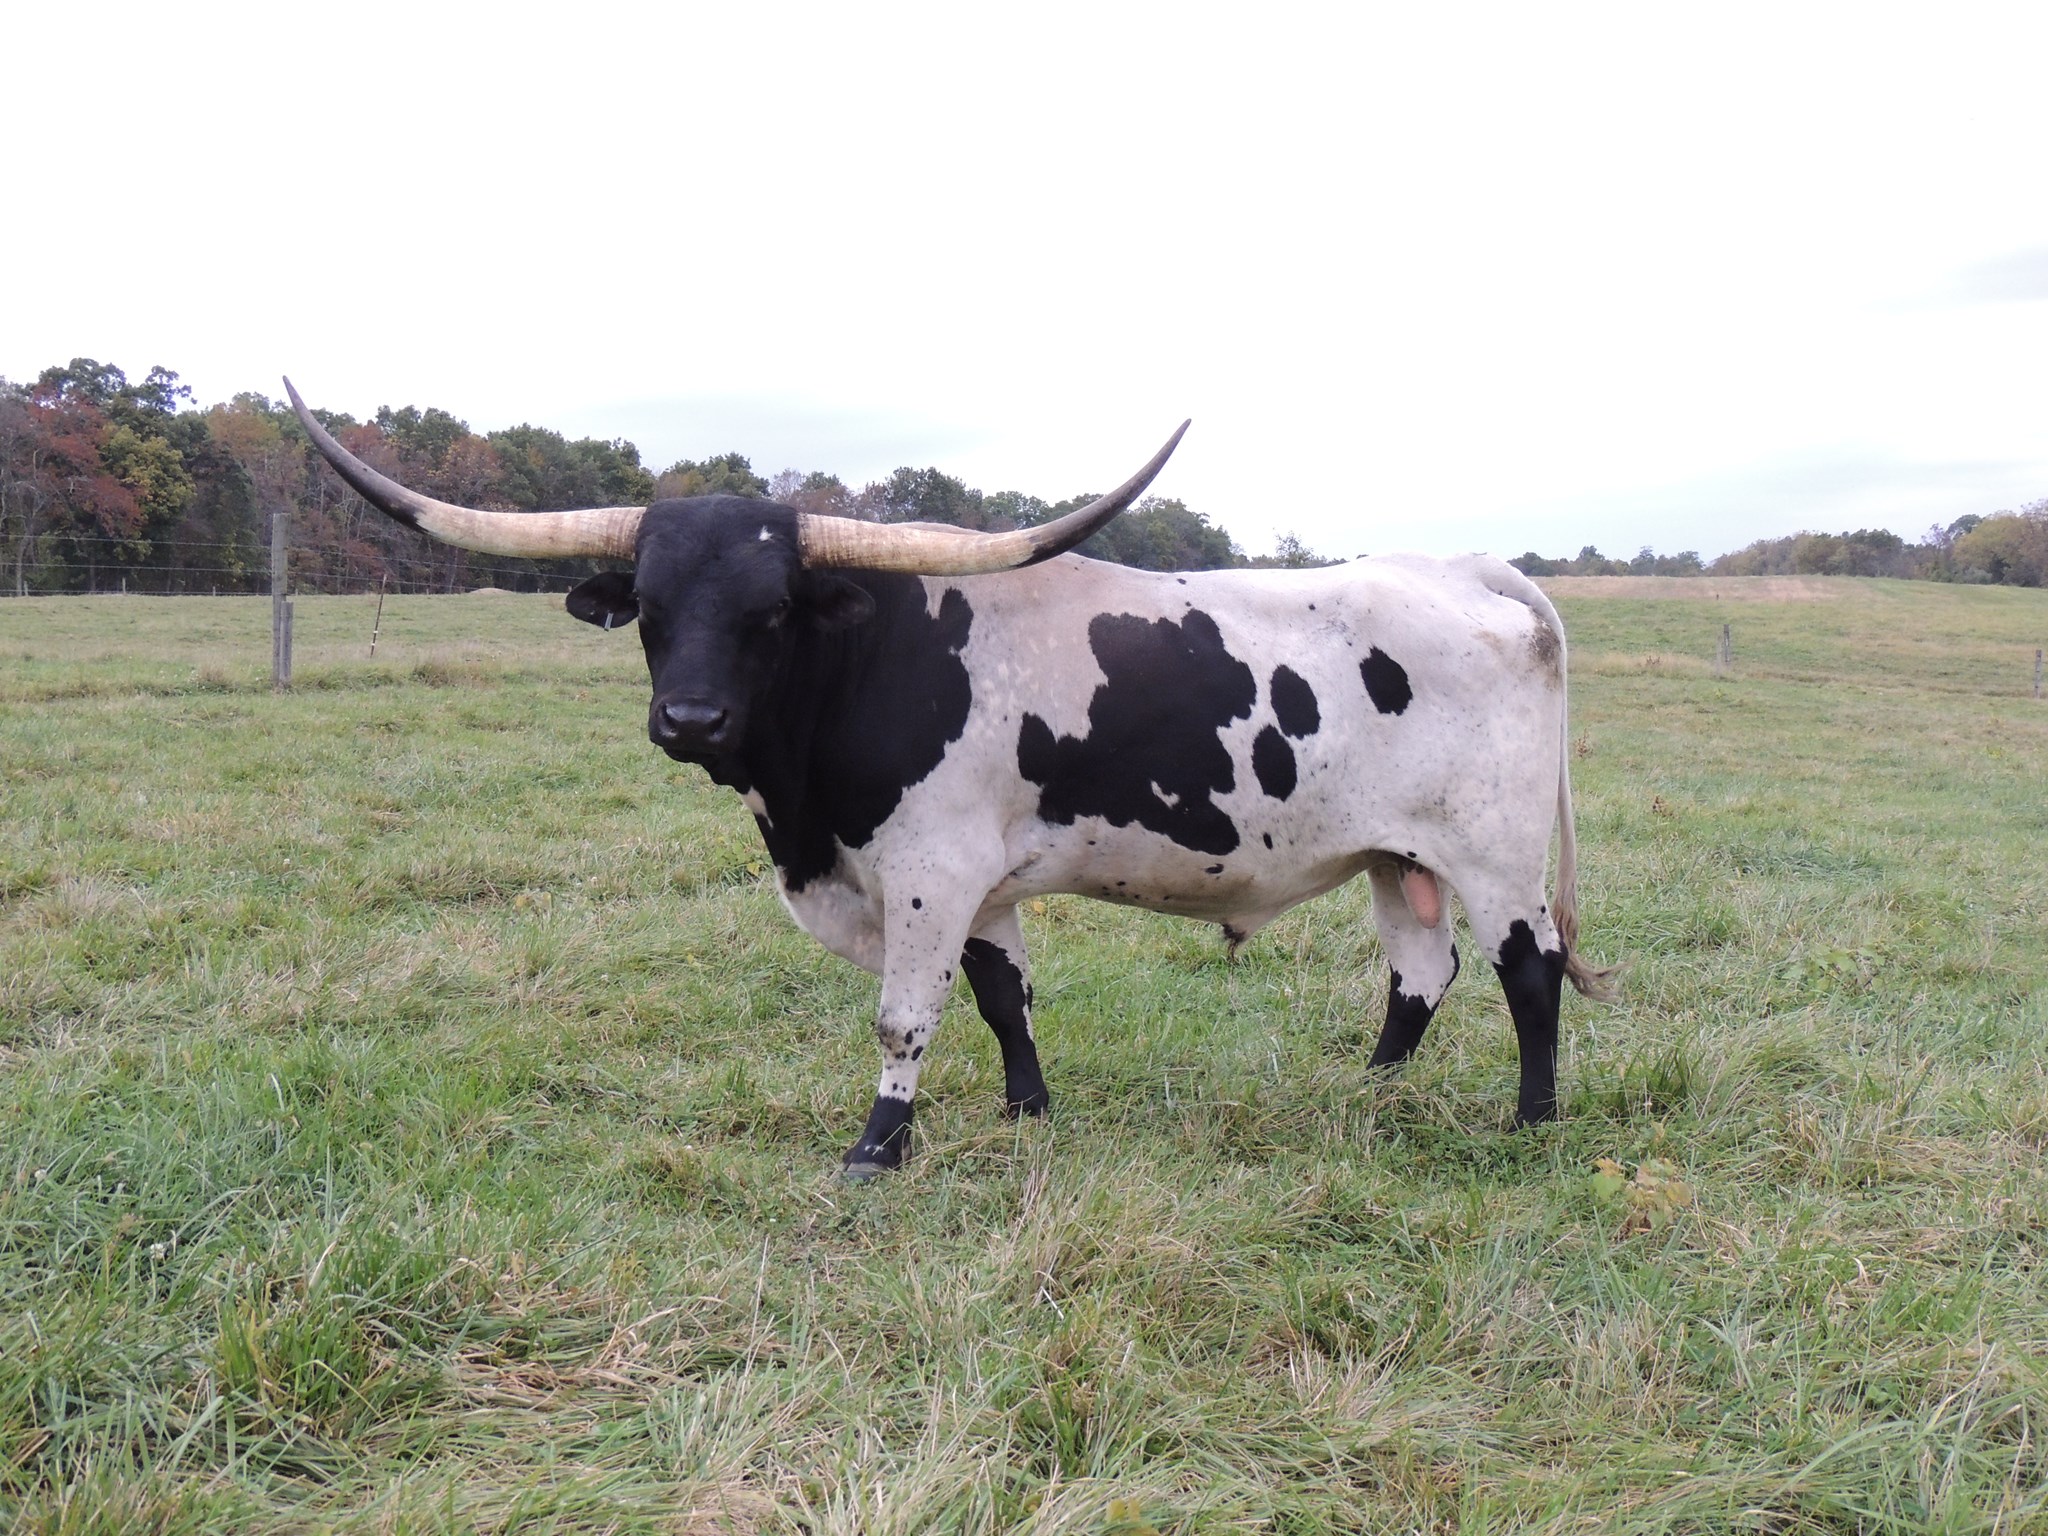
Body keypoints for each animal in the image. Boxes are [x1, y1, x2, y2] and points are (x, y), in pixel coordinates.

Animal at [285, 380, 1611, 1177]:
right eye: (650, 609)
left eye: (771, 611)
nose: (689, 719)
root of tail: (1468, 569)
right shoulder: (978, 882)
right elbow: (1000, 998)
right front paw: (1026, 1112)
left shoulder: (928, 868)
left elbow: (905, 1012)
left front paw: (878, 1144)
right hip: (1396, 855)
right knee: (1419, 974)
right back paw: (1368, 1092)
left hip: (1493, 854)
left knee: (1526, 972)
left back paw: (1531, 1122)